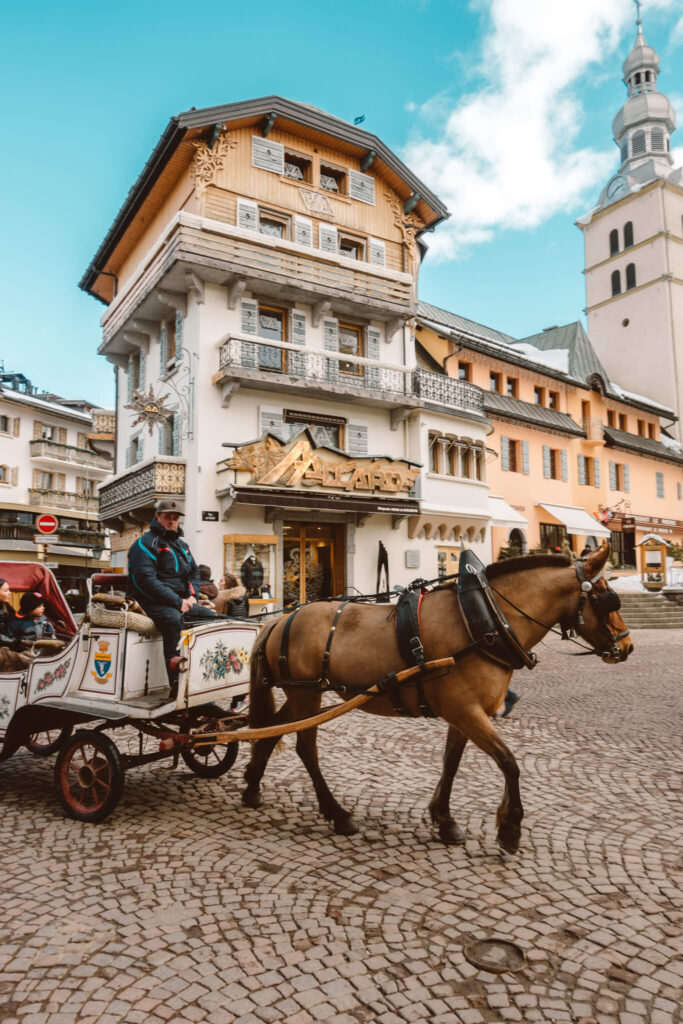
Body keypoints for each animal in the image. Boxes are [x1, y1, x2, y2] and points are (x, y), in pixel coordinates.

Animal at [242, 548, 634, 851]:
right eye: (606, 599)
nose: (628, 646)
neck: (484, 621)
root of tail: (281, 619)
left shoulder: (463, 713)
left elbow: (451, 763)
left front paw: (444, 819)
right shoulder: (466, 710)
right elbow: (509, 763)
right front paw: (510, 828)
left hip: (301, 694)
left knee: (271, 731)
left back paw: (252, 786)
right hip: (306, 693)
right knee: (305, 747)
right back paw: (337, 814)